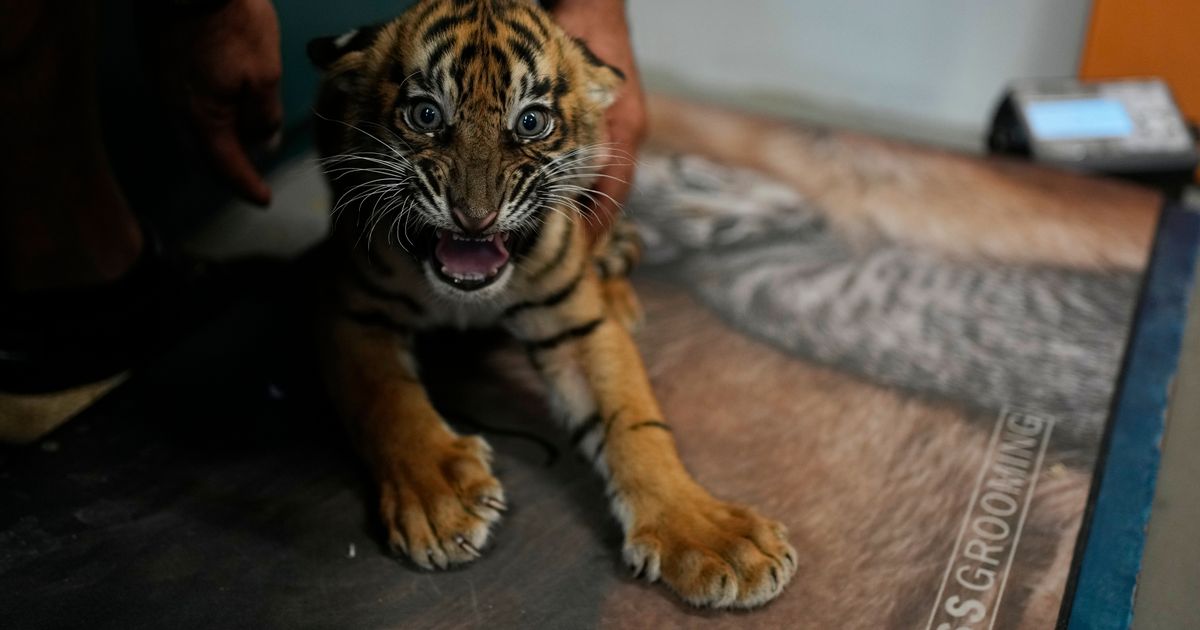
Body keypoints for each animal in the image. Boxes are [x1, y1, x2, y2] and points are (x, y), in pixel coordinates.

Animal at [307, 0, 796, 609]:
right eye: (425, 115)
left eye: (530, 122)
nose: (475, 218)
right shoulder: (353, 310)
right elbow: (389, 403)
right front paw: (439, 501)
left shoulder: (576, 324)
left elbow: (635, 424)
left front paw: (711, 536)